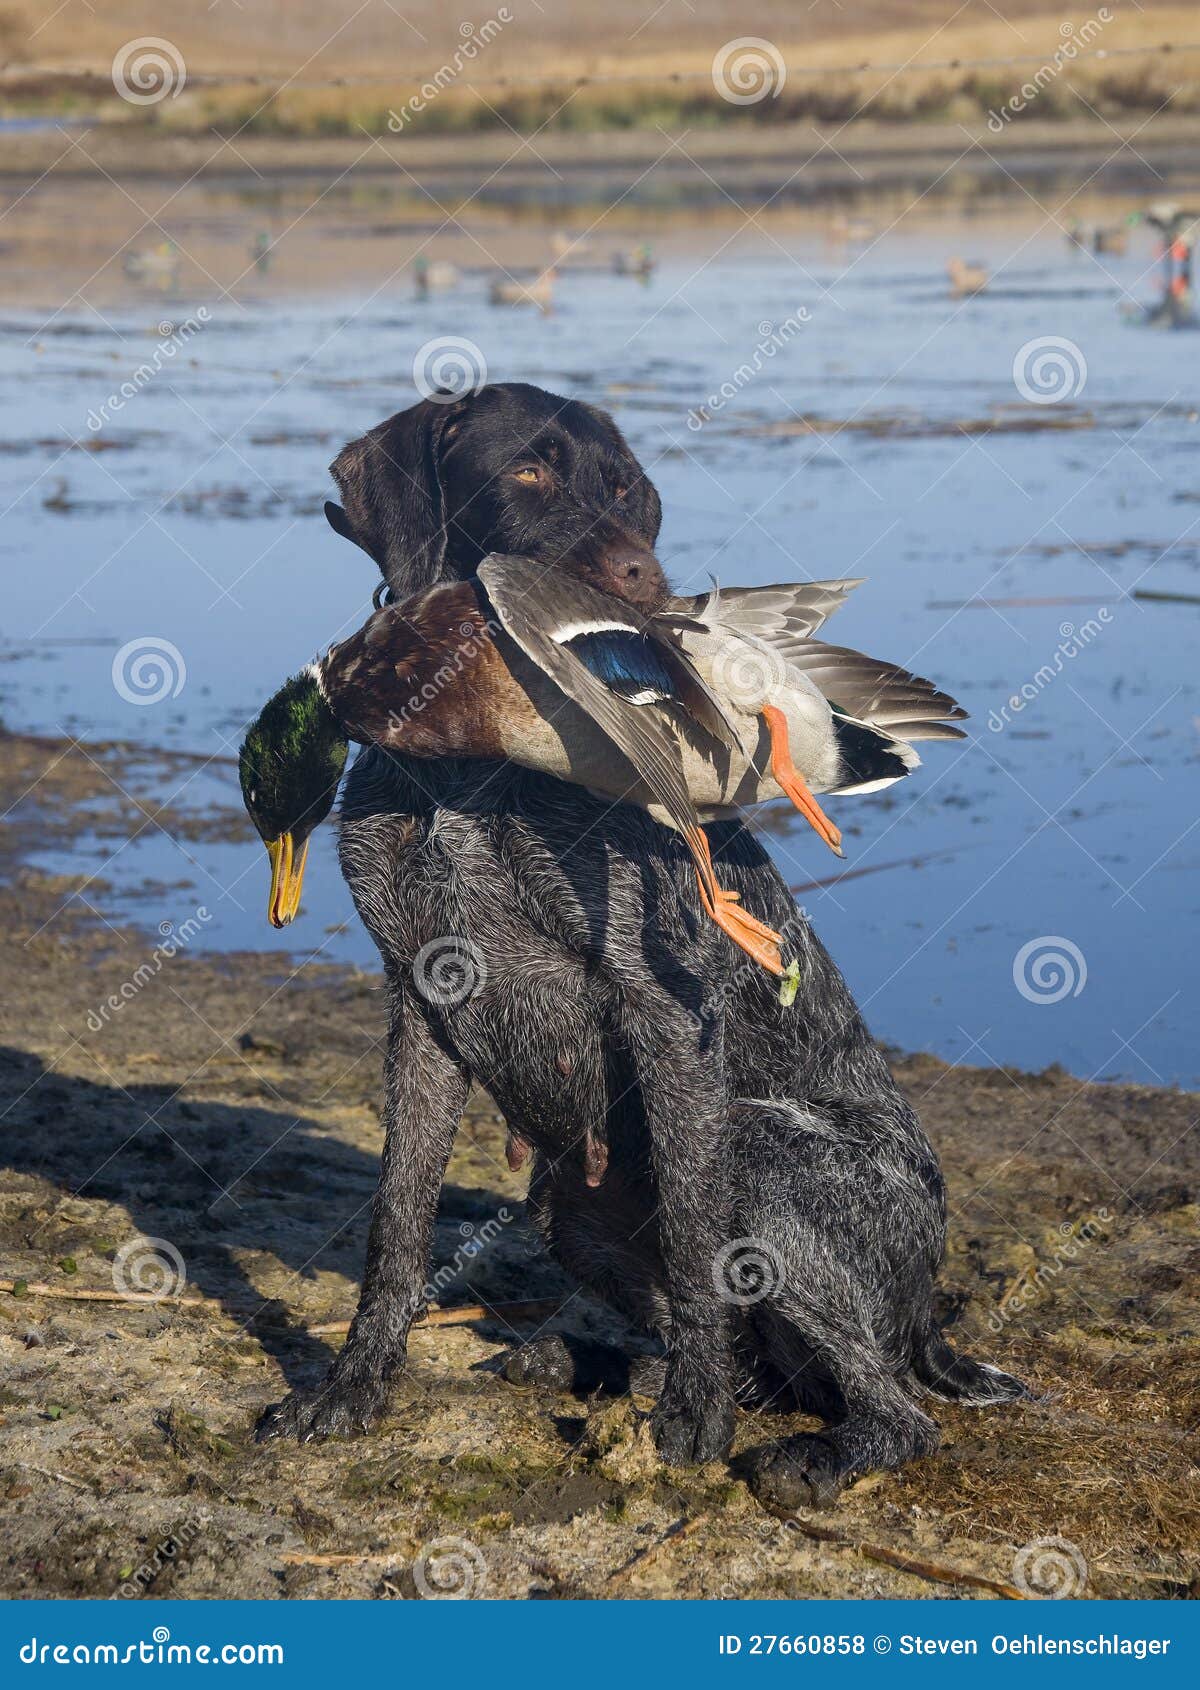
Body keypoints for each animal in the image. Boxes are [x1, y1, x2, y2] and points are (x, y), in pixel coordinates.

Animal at [256, 383, 1027, 1507]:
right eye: (528, 470)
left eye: (627, 488)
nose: (642, 581)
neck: (468, 777)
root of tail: (929, 1314)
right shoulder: (420, 1005)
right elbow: (395, 1224)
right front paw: (351, 1386)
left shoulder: (664, 1009)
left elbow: (701, 1235)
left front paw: (693, 1423)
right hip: (564, 1205)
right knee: (755, 1360)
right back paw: (594, 1362)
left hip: (759, 1154)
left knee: (890, 1407)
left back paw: (804, 1447)